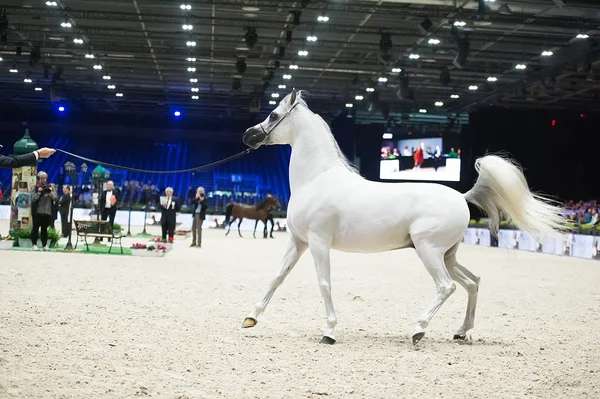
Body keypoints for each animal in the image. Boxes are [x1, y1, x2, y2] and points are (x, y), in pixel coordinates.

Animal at [238, 89, 564, 346]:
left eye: (273, 115)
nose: (247, 136)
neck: (317, 179)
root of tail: (462, 196)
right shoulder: (298, 241)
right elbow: (277, 277)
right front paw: (250, 318)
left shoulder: (319, 242)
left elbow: (324, 283)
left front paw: (329, 332)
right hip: (447, 255)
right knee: (472, 282)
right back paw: (461, 332)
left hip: (428, 249)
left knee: (447, 286)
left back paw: (418, 330)